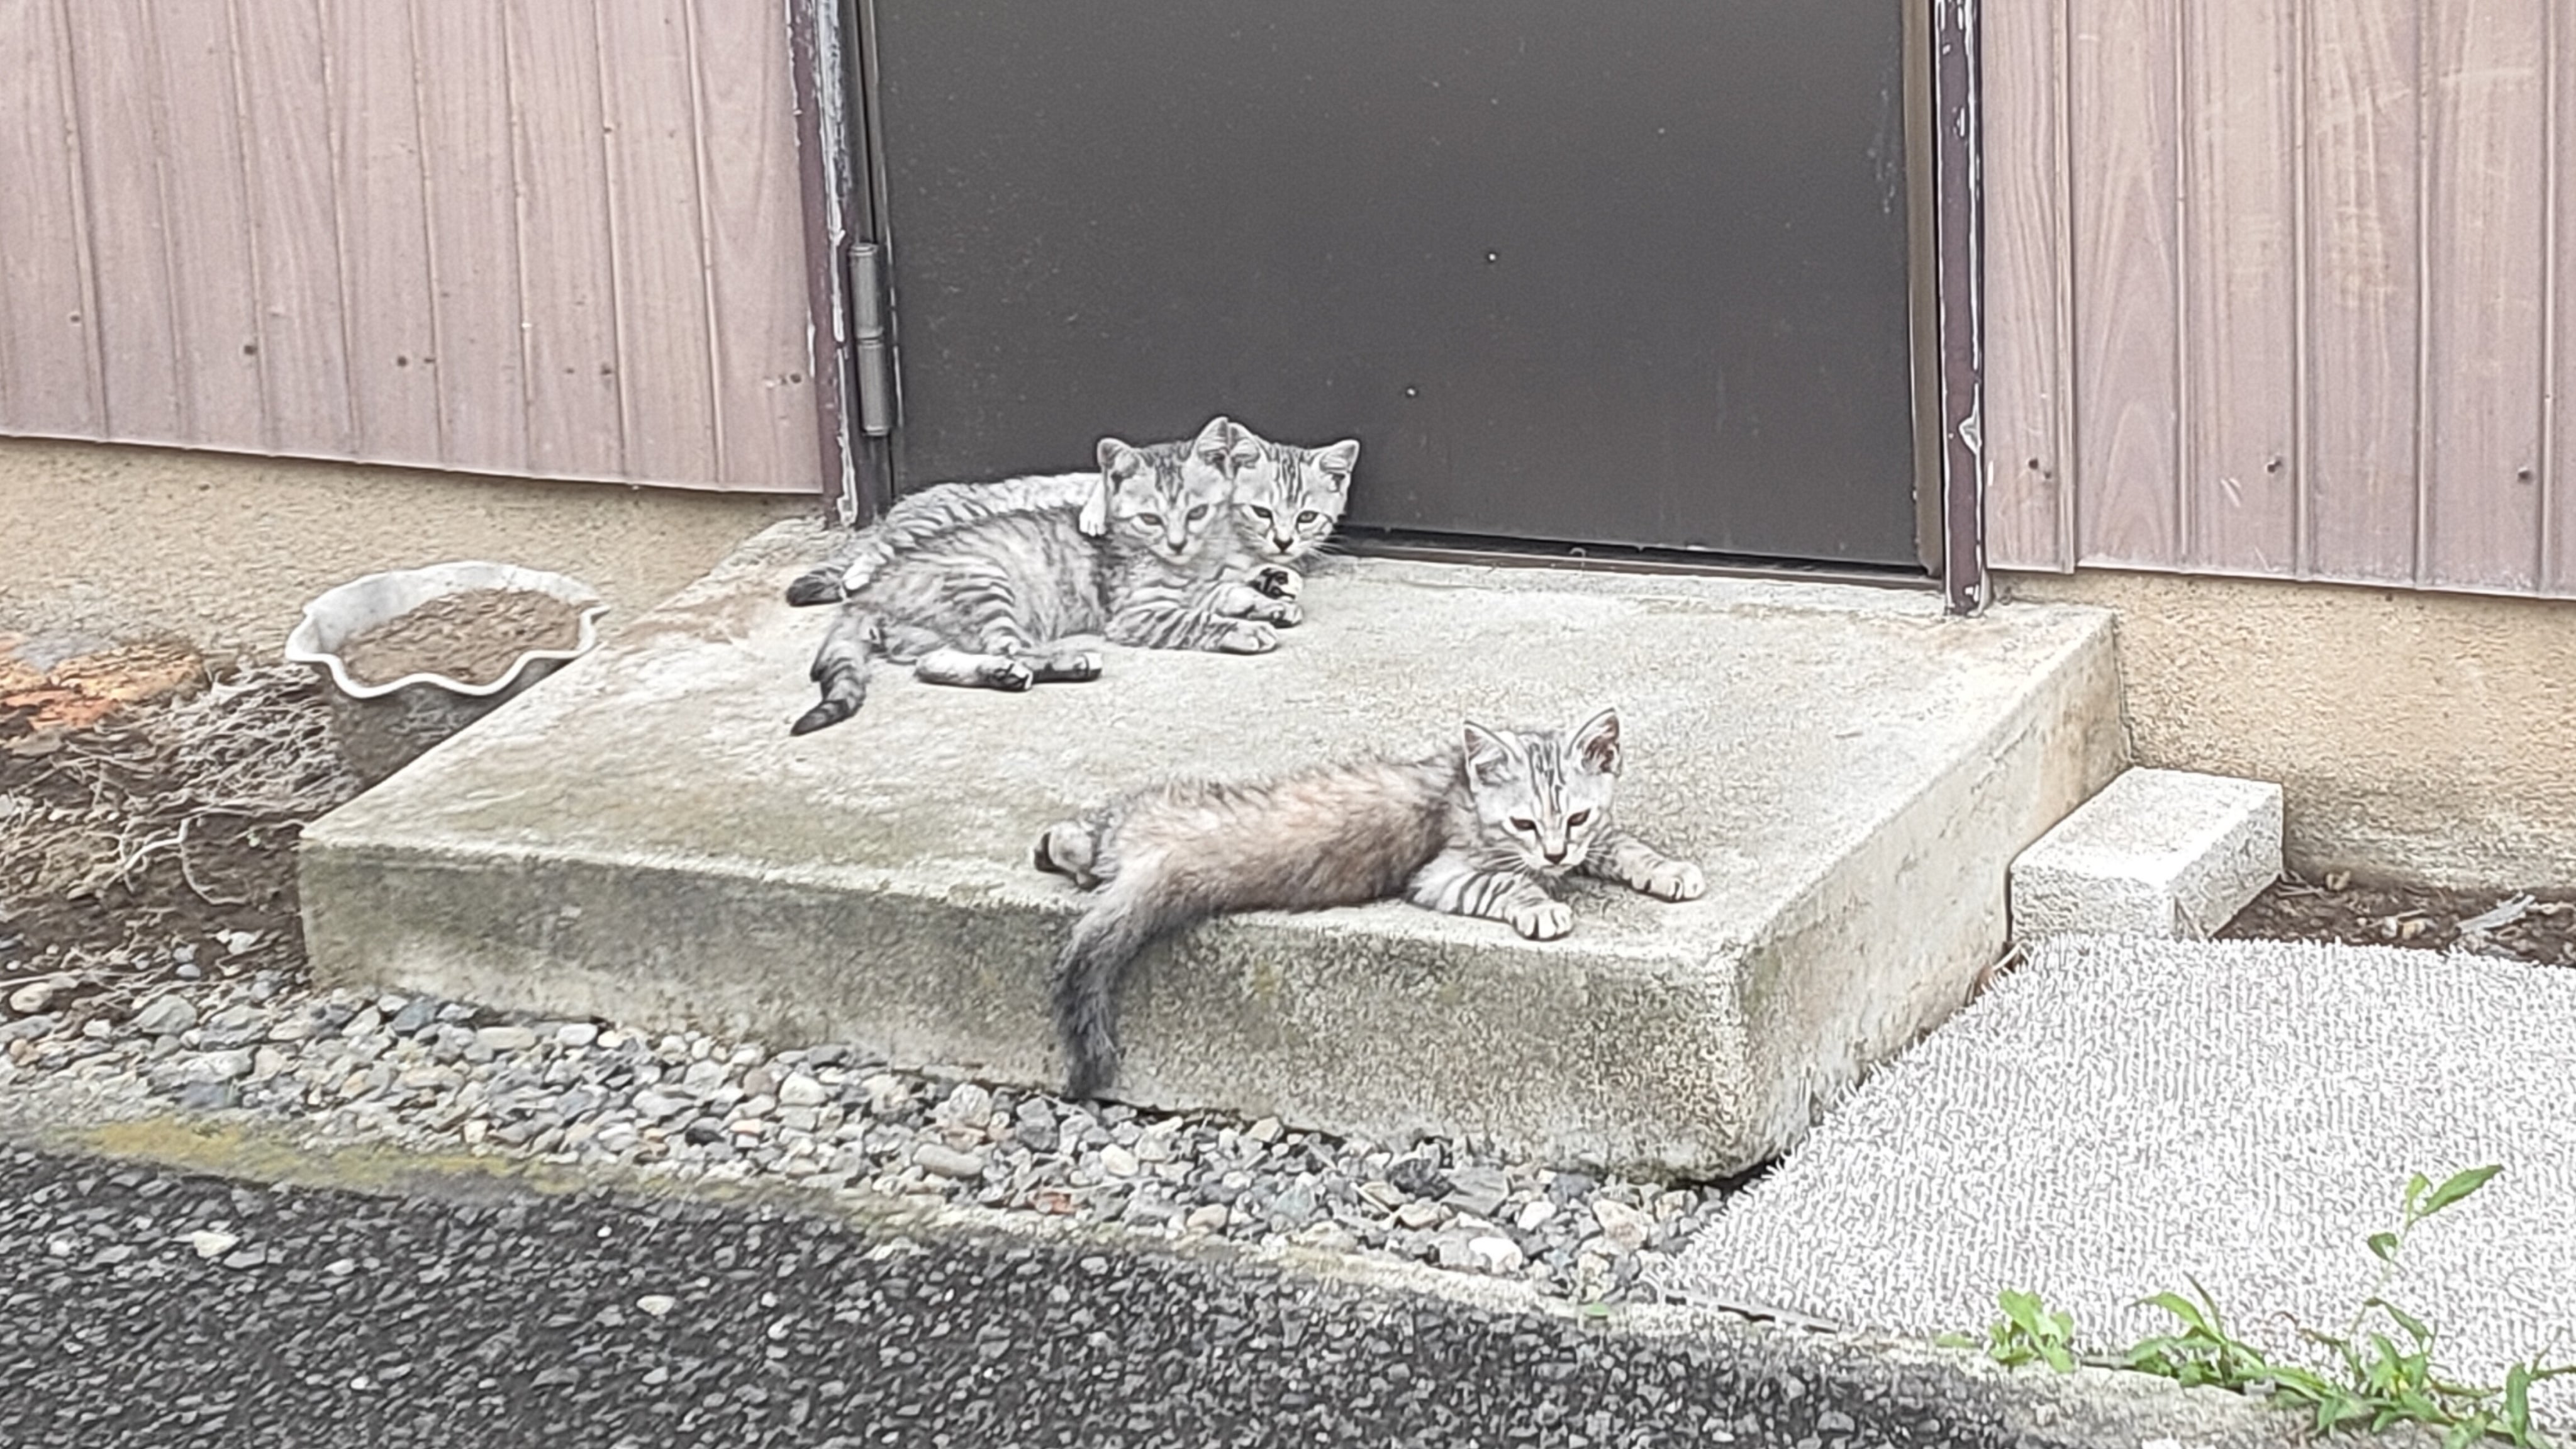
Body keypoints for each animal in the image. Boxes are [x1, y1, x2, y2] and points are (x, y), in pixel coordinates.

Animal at [789, 421, 1274, 736]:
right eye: (1150, 519)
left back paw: (1003, 674)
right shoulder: (1139, 612)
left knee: (935, 664)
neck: (1188, 563)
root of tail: (866, 597)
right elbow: (1197, 618)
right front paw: (1244, 628)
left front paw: (1268, 601)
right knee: (1009, 646)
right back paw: (1068, 662)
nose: (1176, 543)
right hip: (985, 581)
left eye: (1197, 512)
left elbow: (1224, 589)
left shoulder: (1199, 582)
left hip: (933, 632)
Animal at [1032, 707, 1706, 1097]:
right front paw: (1540, 904)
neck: (1464, 785)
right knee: (1082, 837)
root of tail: (1154, 862)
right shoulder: (1443, 873)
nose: (1556, 854)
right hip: (1137, 816)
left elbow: (1621, 843)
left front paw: (1668, 869)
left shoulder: (1591, 837)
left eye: (1575, 816)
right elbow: (1507, 881)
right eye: (1522, 822)